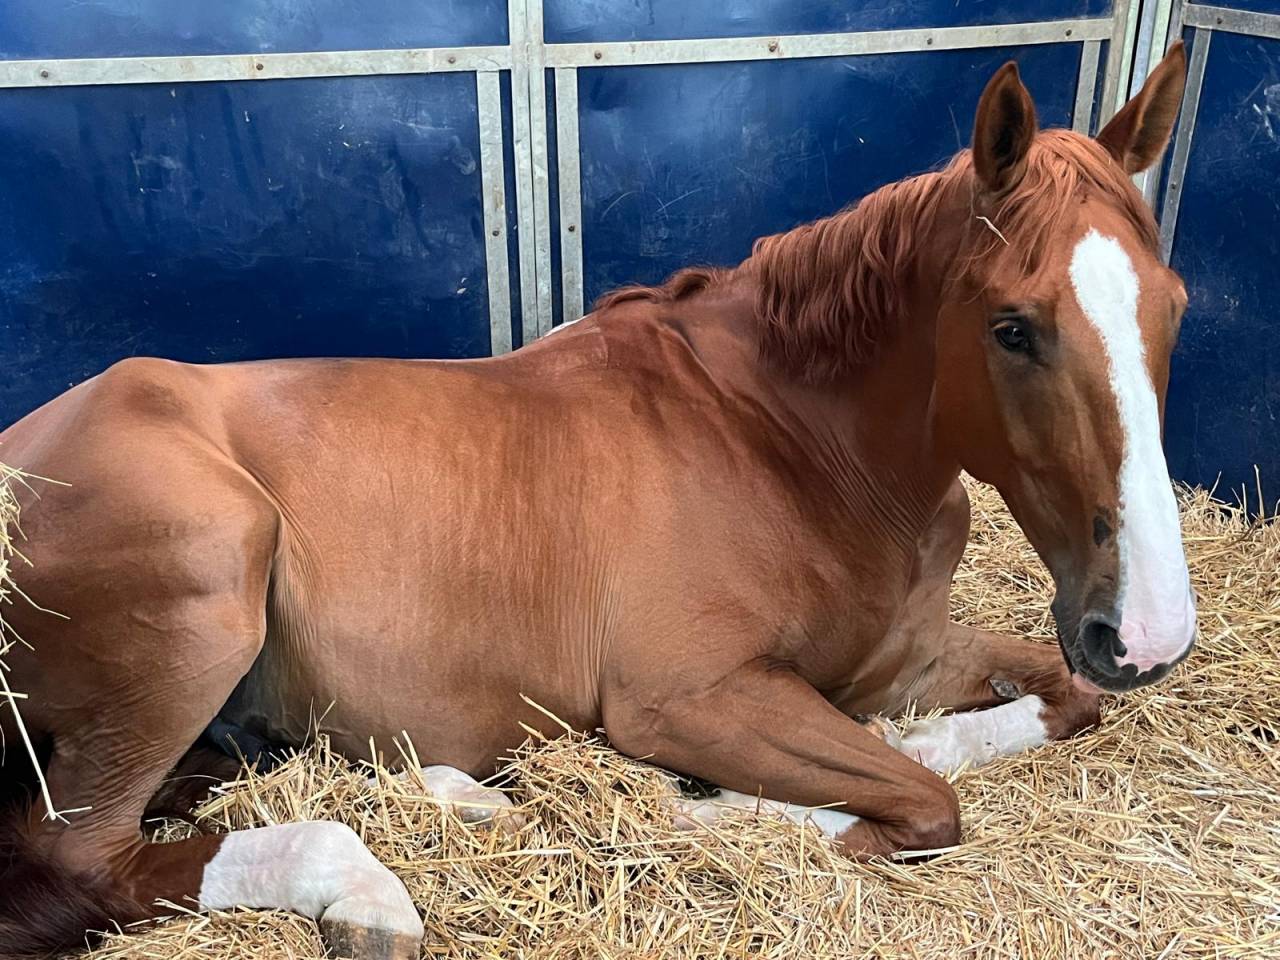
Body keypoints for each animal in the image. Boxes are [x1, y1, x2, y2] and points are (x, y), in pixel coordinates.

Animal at [0, 44, 1192, 959]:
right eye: (1011, 326)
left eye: (1173, 304)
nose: (1145, 635)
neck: (788, 443)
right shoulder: (689, 700)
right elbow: (913, 803)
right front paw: (707, 805)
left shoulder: (900, 661)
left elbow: (1039, 710)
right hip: (210, 581)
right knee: (77, 858)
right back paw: (366, 895)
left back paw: (457, 796)